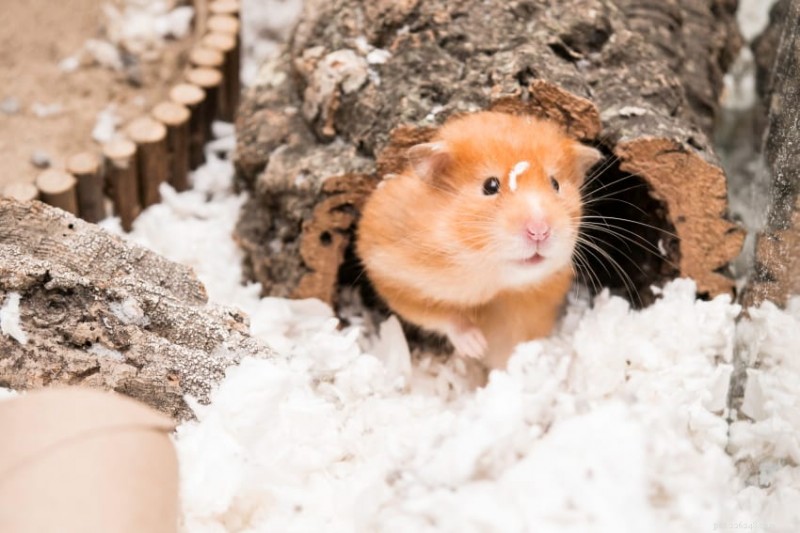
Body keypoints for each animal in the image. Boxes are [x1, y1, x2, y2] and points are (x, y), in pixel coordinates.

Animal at [357, 111, 602, 369]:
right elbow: (441, 315)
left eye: (555, 184)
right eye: (490, 185)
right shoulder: (391, 275)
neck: (489, 274)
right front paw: (476, 346)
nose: (539, 231)